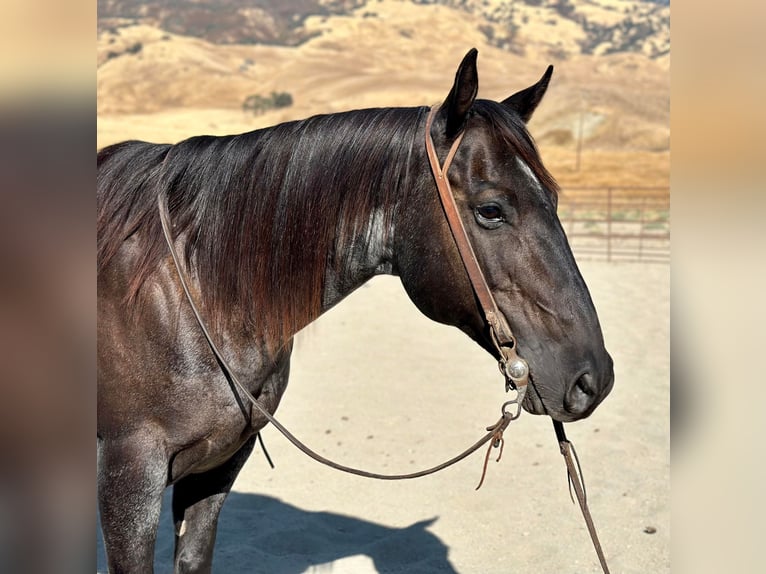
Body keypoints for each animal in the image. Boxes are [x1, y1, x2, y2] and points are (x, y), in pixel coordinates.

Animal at [97, 50, 612, 574]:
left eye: (553, 199)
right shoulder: (129, 479)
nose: (593, 379)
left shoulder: (218, 465)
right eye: (491, 210)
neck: (195, 292)